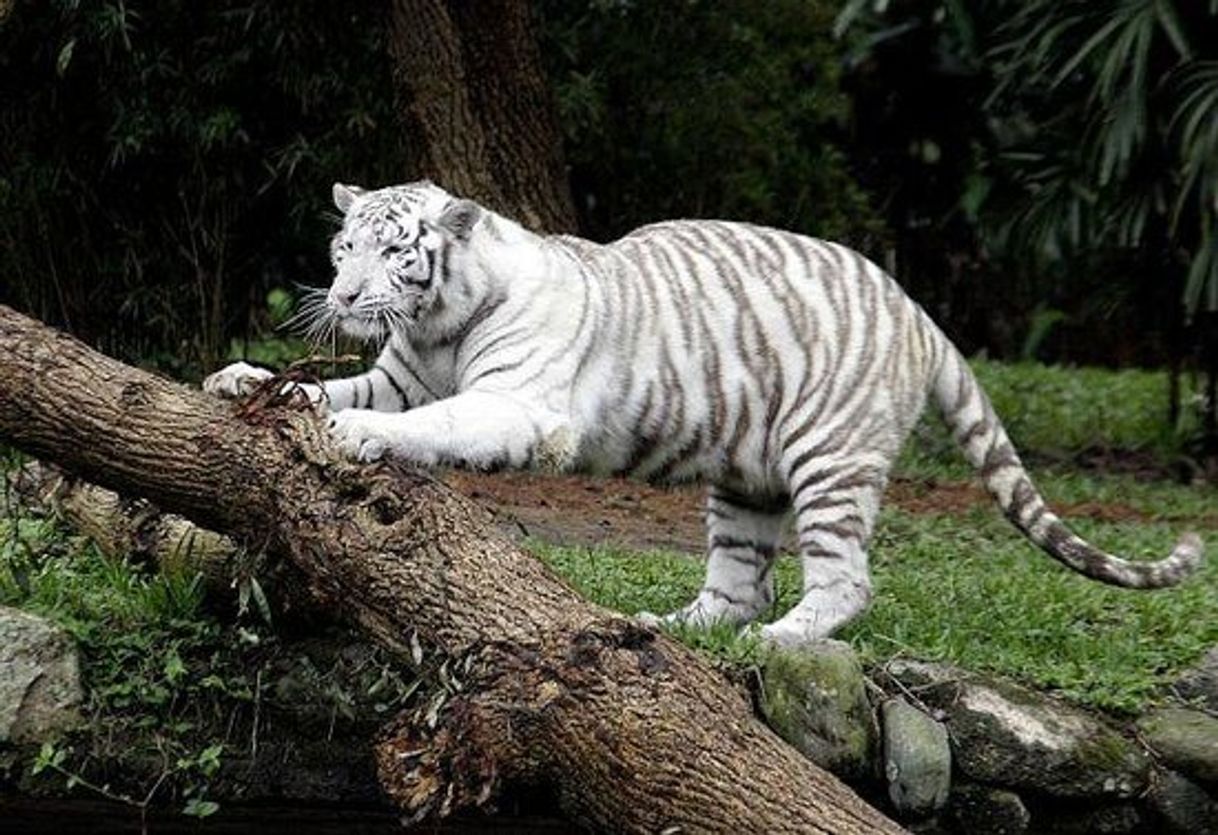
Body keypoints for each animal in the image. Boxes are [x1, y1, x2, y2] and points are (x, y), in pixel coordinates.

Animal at [204, 181, 1203, 652]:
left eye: (392, 252)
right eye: (344, 246)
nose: (342, 294)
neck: (438, 319)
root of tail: (918, 309)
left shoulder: (518, 402)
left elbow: (434, 424)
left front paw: (359, 438)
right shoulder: (402, 374)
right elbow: (337, 388)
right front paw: (244, 377)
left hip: (829, 461)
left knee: (842, 581)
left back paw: (783, 636)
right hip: (744, 478)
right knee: (738, 582)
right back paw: (670, 627)